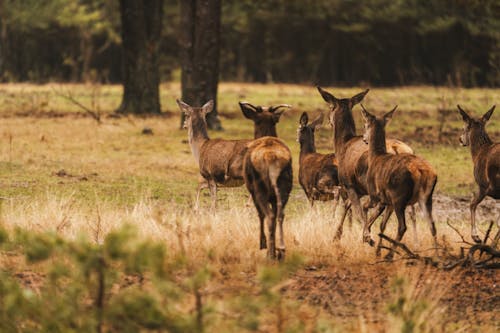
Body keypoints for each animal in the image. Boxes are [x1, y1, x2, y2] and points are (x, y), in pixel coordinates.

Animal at [318, 86, 420, 244]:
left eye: (330, 107)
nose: (329, 120)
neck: (342, 146)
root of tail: (397, 150)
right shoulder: (360, 189)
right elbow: (350, 206)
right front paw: (339, 235)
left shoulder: (349, 183)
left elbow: (355, 210)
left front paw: (341, 235)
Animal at [360, 105, 438, 258]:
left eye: (365, 124)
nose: (364, 139)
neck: (375, 157)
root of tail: (422, 172)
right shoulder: (387, 201)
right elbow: (381, 224)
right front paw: (376, 248)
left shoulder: (375, 195)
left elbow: (365, 208)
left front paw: (368, 238)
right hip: (426, 197)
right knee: (432, 224)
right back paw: (439, 253)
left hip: (399, 197)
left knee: (402, 226)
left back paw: (390, 255)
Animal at [456, 105, 498, 243]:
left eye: (464, 127)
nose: (460, 139)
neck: (477, 153)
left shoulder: (484, 185)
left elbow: (472, 204)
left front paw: (476, 236)